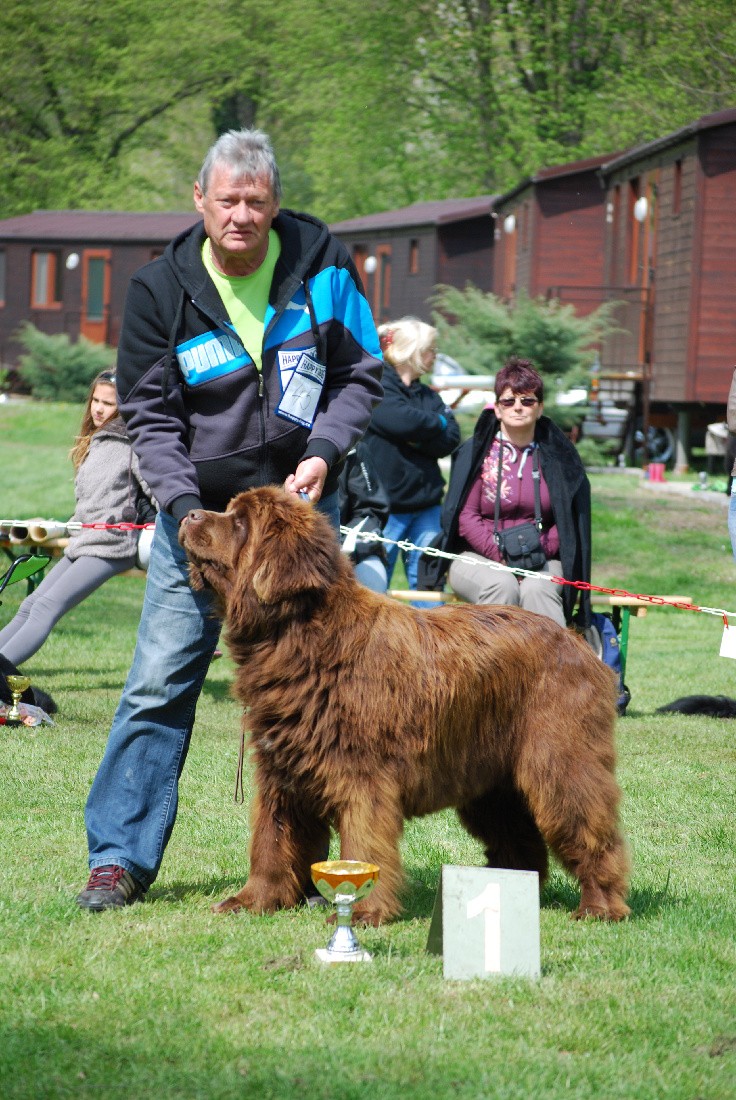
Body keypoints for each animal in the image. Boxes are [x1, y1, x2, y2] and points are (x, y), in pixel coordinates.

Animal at [179, 487, 630, 924]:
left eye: (240, 522)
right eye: (228, 511)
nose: (189, 514)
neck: (300, 636)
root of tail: (576, 642)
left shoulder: (361, 774)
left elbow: (363, 844)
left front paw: (363, 912)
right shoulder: (280, 770)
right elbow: (269, 840)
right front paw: (251, 901)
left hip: (559, 761)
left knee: (590, 829)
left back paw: (600, 906)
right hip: (491, 782)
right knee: (520, 842)